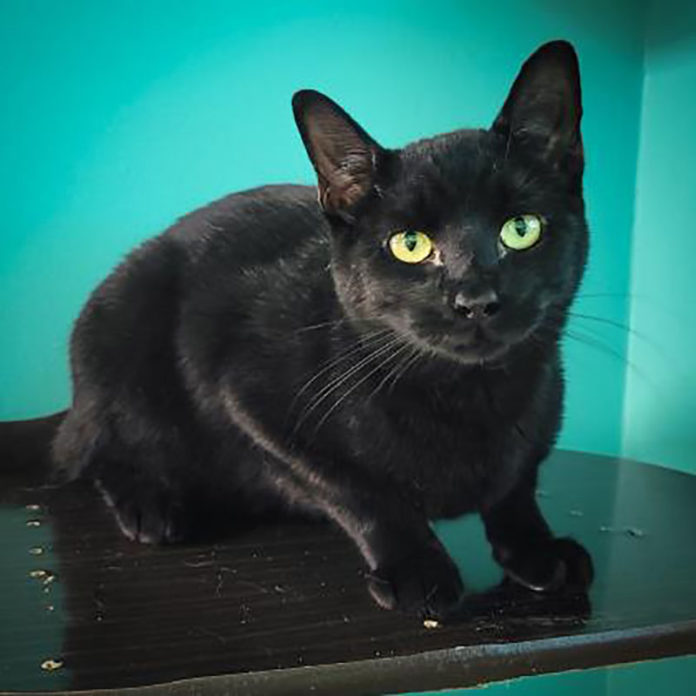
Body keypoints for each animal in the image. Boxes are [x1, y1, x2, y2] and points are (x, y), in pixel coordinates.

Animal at [44, 39, 592, 616]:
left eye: (521, 229)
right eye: (410, 244)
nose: (475, 300)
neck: (467, 398)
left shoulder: (542, 415)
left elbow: (517, 486)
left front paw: (538, 551)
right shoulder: (250, 401)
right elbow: (360, 491)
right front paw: (417, 569)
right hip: (118, 331)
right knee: (89, 450)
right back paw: (152, 504)